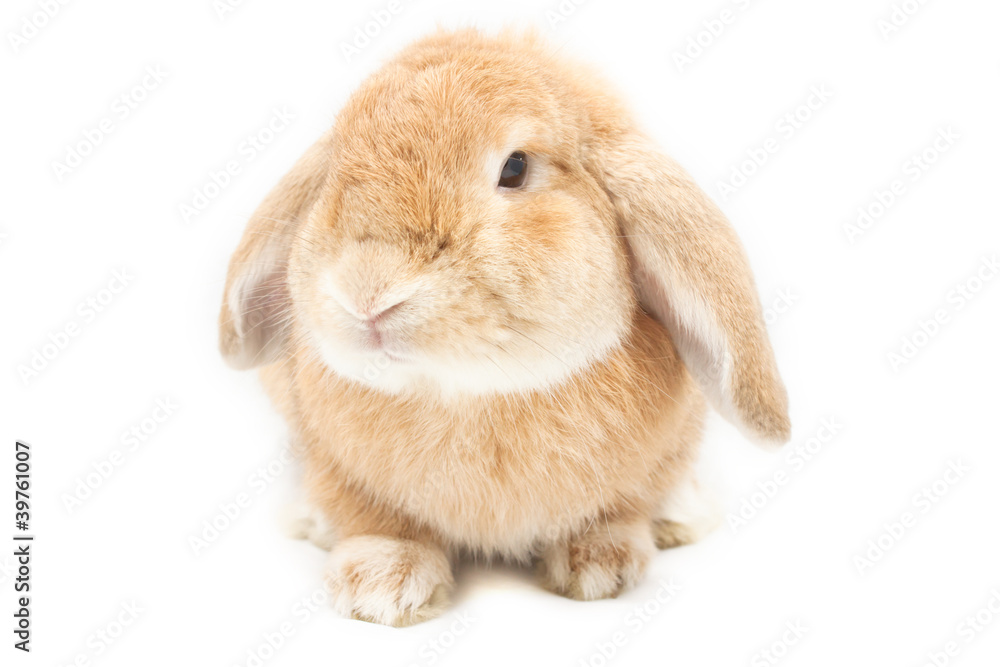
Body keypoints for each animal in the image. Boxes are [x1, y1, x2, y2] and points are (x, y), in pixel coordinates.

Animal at [219, 28, 790, 626]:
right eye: (335, 169)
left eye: (514, 169)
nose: (367, 293)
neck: (471, 394)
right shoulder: (337, 467)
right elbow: (373, 521)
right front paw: (381, 588)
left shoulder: (655, 460)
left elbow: (621, 510)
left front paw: (598, 568)